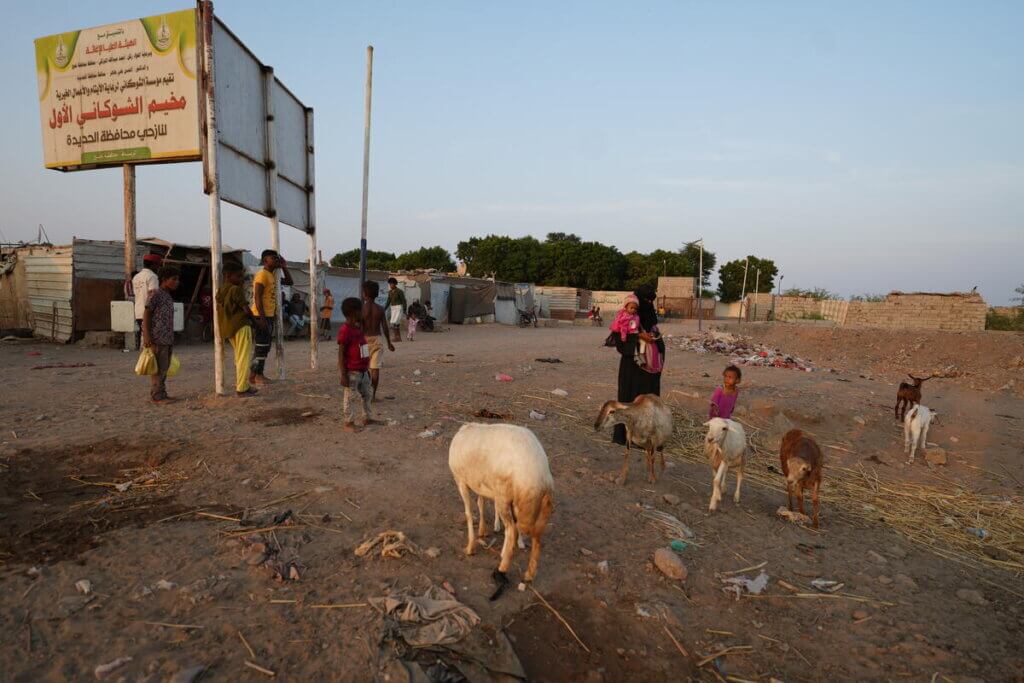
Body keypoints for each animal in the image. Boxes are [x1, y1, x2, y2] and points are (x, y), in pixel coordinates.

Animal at [448, 421, 557, 593]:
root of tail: (537, 476)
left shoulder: (461, 481)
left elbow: (468, 513)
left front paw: (470, 547)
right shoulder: (480, 484)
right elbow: (480, 503)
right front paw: (482, 530)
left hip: (504, 495)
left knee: (512, 530)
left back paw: (503, 566)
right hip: (539, 505)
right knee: (537, 537)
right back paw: (529, 574)